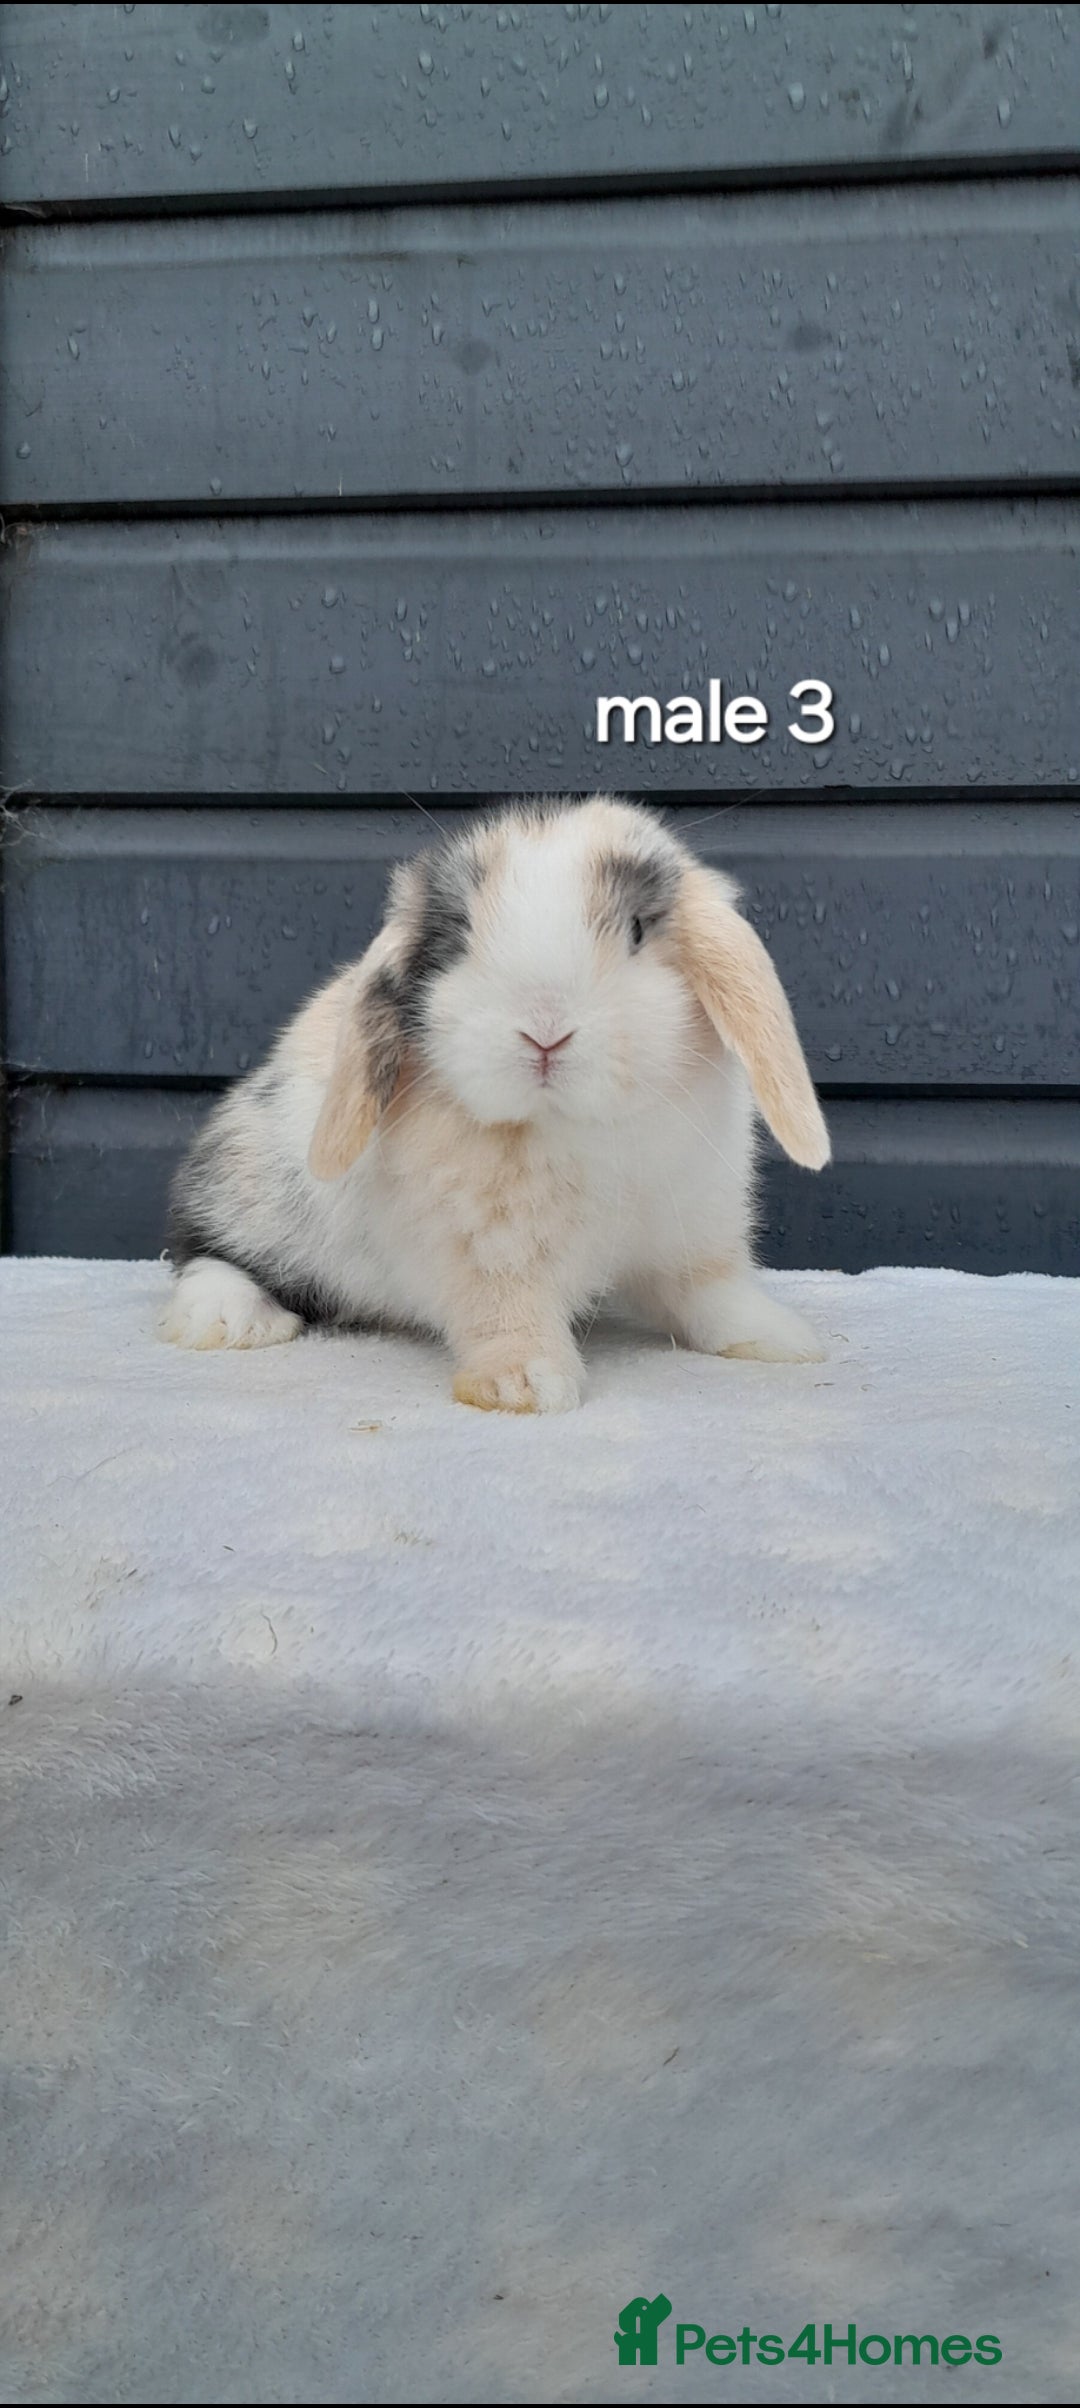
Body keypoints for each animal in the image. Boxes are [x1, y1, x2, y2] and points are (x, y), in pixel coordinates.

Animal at [163, 795, 831, 1411]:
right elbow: (508, 1313)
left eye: (639, 930)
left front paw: (783, 1340)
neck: (582, 1128)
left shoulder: (698, 1224)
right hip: (249, 1192)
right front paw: (524, 1384)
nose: (545, 1032)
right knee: (204, 1251)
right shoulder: (486, 1250)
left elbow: (712, 1292)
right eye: (458, 938)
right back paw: (230, 1320)